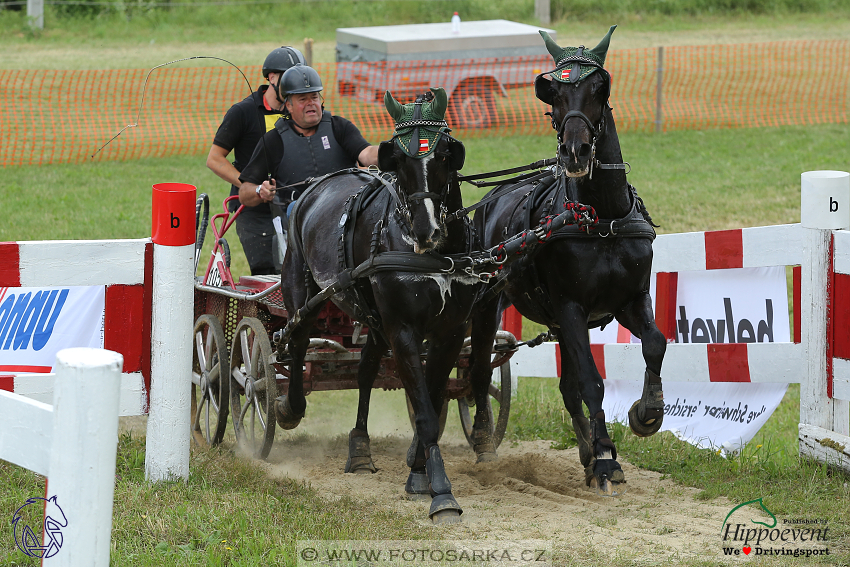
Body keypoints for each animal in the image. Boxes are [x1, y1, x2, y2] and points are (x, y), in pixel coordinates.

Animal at [278, 89, 476, 524]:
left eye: (444, 155)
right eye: (398, 160)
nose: (426, 229)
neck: (431, 256)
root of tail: (318, 184)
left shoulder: (449, 332)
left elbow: (431, 400)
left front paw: (418, 472)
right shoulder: (403, 330)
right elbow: (424, 411)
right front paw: (440, 492)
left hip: (375, 320)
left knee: (366, 368)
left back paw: (359, 447)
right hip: (302, 288)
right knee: (297, 341)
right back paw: (290, 408)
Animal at [468, 25, 664, 496]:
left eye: (598, 88)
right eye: (553, 93)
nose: (575, 152)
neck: (602, 218)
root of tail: (492, 197)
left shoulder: (629, 300)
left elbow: (655, 343)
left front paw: (646, 412)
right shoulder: (572, 307)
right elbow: (593, 383)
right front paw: (608, 458)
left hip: (557, 320)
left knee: (565, 387)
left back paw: (587, 451)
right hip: (490, 305)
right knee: (479, 372)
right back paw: (484, 443)